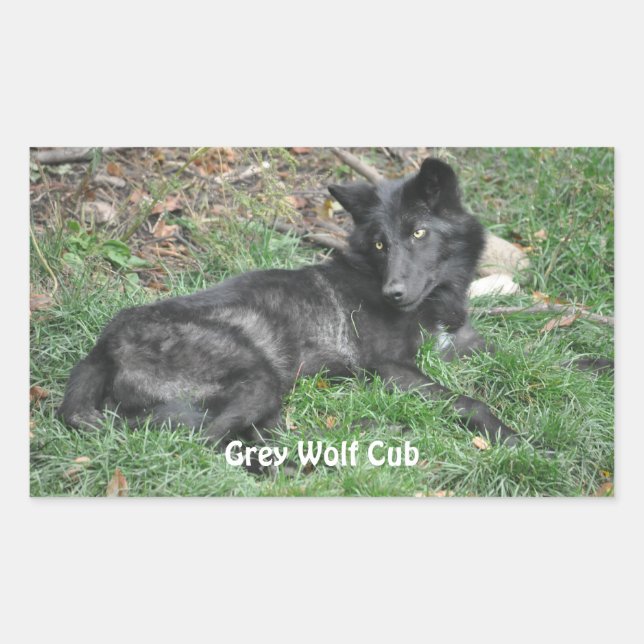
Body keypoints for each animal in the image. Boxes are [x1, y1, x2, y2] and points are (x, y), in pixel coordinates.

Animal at [58, 158, 520, 447]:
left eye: (419, 233)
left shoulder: (464, 342)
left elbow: (515, 358)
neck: (437, 299)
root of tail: (105, 344)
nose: (394, 293)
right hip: (261, 380)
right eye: (380, 243)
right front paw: (514, 437)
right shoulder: (390, 368)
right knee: (205, 438)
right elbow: (468, 400)